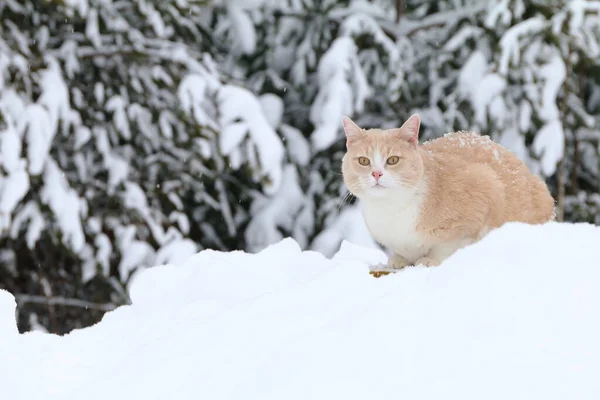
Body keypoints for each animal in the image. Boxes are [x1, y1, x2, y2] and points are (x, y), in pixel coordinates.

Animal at [340, 113, 556, 268]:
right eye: (363, 161)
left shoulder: (485, 189)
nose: (376, 173)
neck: (390, 209)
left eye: (393, 160)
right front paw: (399, 259)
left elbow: (446, 247)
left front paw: (429, 260)